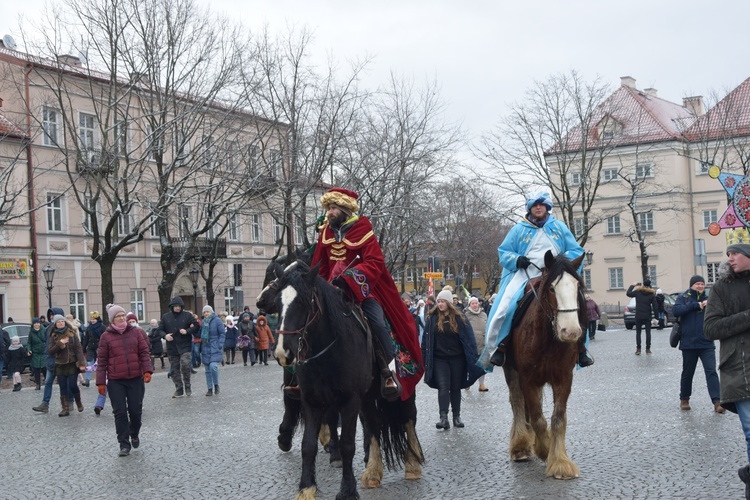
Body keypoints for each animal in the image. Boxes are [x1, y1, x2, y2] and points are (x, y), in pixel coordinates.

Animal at [274, 260, 424, 498]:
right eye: (278, 303)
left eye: (303, 302)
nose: (283, 352)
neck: (327, 350)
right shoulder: (312, 400)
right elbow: (308, 445)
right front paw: (306, 488)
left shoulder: (349, 400)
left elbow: (347, 445)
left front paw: (347, 489)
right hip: (367, 397)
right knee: (373, 423)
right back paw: (373, 472)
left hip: (403, 389)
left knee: (409, 418)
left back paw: (412, 464)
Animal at [506, 250, 588, 480]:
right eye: (552, 288)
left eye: (578, 286)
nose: (570, 331)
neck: (548, 340)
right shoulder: (528, 379)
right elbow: (538, 419)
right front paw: (544, 449)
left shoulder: (564, 378)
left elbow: (557, 418)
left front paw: (560, 461)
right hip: (512, 372)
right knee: (517, 403)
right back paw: (520, 446)